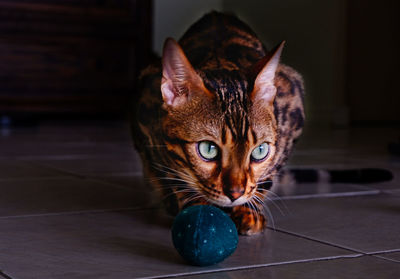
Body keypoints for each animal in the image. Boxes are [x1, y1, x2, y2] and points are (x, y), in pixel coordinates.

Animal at [131, 10, 304, 235]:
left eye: (260, 151)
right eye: (208, 149)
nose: (236, 193)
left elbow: (268, 174)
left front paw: (249, 210)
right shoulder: (144, 113)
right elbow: (170, 173)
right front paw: (195, 206)